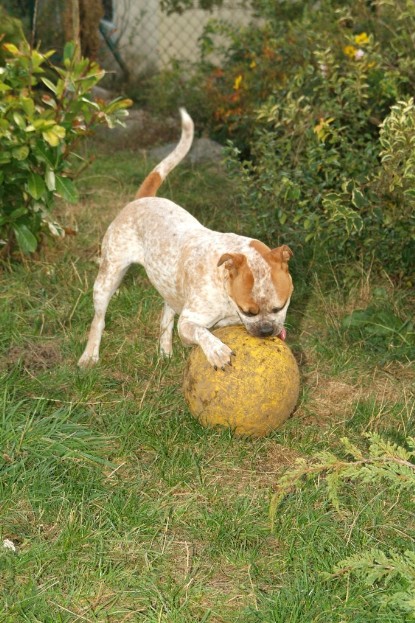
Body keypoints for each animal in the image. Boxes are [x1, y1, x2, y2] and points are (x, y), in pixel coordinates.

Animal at [77, 108, 292, 370]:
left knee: (165, 317)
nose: (266, 330)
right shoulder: (188, 323)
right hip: (108, 277)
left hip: (169, 287)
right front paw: (217, 351)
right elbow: (201, 333)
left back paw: (165, 352)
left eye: (279, 306)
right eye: (248, 311)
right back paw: (90, 356)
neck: (224, 285)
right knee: (99, 319)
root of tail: (142, 199)